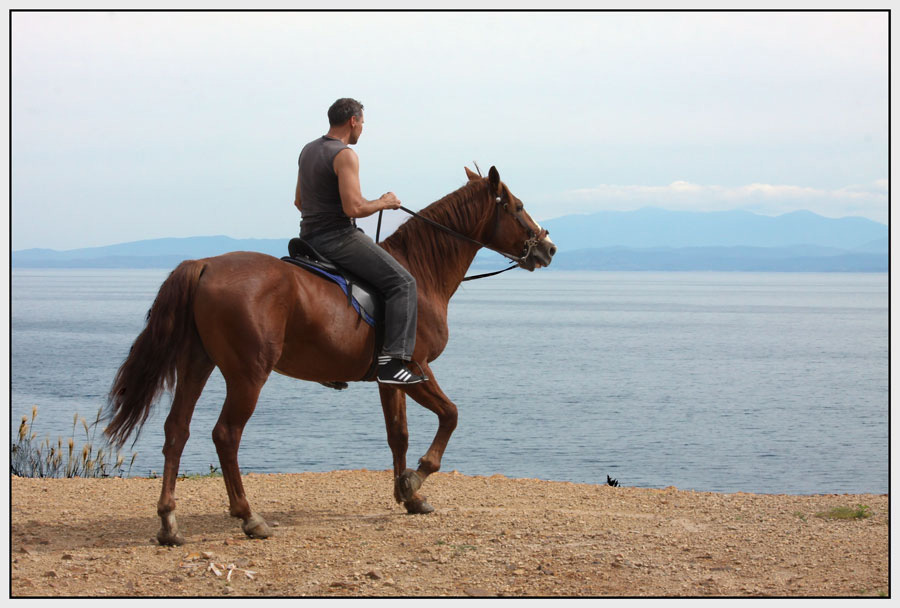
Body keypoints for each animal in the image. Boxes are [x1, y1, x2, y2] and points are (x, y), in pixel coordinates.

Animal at [105, 165, 556, 548]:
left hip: (197, 364)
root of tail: (204, 266)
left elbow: (398, 434)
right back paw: (249, 517)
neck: (421, 273)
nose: (549, 248)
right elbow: (450, 415)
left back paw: (168, 523)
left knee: (176, 431)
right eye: (517, 207)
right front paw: (416, 478)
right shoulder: (417, 367)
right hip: (248, 374)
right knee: (226, 435)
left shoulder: (390, 378)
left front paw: (407, 494)